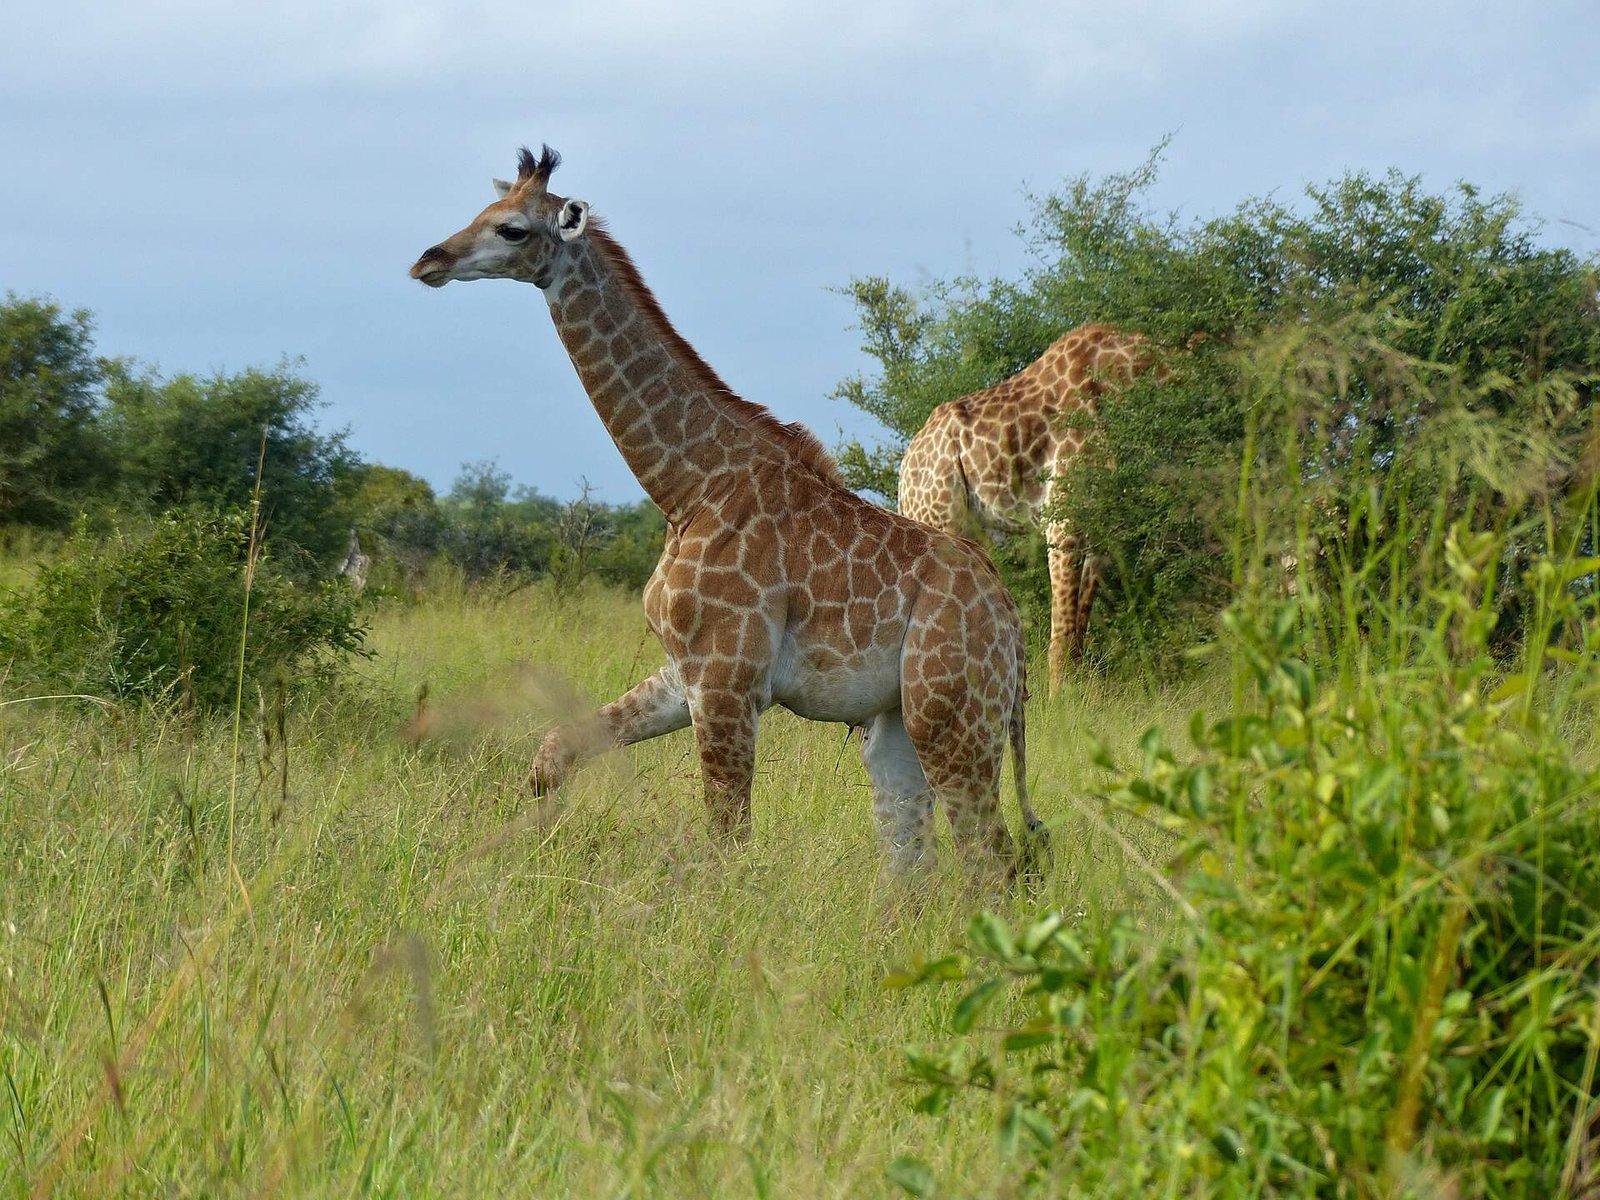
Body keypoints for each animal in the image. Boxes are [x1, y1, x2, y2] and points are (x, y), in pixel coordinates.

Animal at [409, 145, 1044, 876]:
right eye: (483, 210)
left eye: (511, 229)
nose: (428, 260)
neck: (686, 487)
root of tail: (1011, 624)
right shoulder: (684, 672)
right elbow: (555, 752)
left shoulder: (728, 681)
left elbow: (726, 844)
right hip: (896, 724)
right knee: (916, 863)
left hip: (952, 715)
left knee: (992, 861)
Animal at [897, 324, 1159, 694]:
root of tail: (906, 467)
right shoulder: (1064, 516)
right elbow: (1063, 626)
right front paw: (1060, 698)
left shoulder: (1103, 522)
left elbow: (1079, 621)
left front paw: (1075, 690)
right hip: (939, 517)